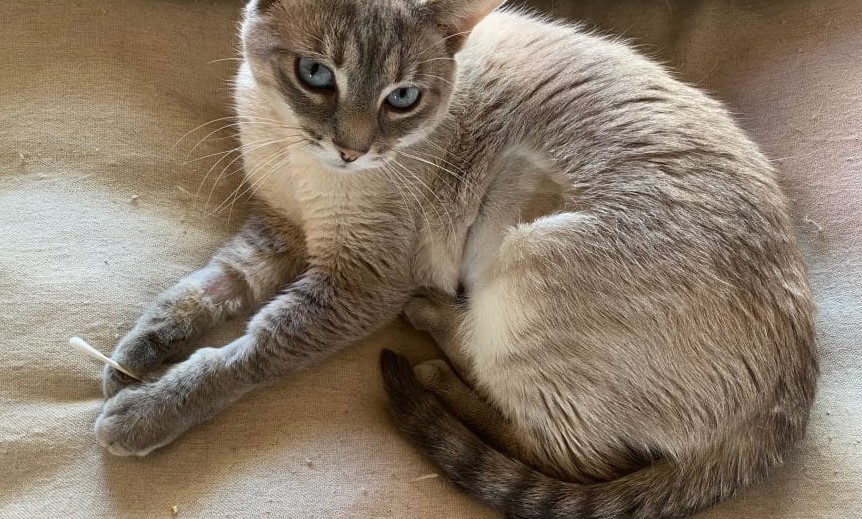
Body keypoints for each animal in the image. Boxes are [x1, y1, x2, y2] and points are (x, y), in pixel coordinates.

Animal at [94, 1, 816, 519]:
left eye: (402, 99)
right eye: (316, 74)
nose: (352, 150)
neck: (293, 152)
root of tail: (789, 405)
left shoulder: (358, 278)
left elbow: (243, 351)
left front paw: (143, 410)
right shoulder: (282, 230)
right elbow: (207, 289)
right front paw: (135, 355)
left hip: (524, 256)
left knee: (568, 455)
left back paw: (430, 352)